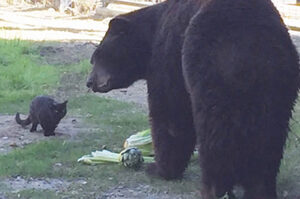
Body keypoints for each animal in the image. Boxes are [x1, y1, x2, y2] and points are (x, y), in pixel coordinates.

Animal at [86, 0, 298, 197]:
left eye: (97, 55)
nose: (89, 82)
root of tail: (254, 47)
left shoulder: (168, 56)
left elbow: (169, 111)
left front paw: (159, 168)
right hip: (279, 84)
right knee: (269, 137)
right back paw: (260, 188)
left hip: (211, 72)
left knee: (214, 135)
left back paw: (213, 188)